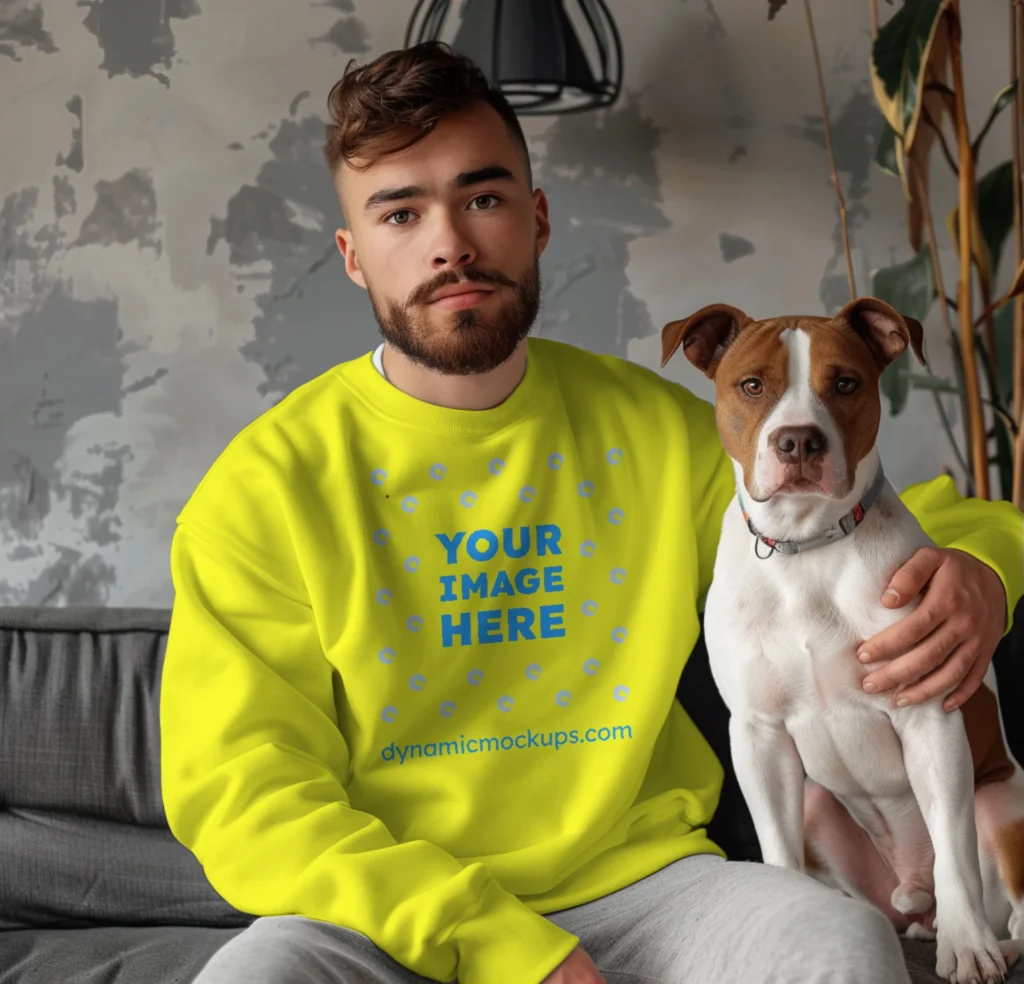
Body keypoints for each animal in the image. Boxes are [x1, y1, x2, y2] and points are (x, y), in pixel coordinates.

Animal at [663, 296, 1024, 982]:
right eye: (752, 385)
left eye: (846, 384)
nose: (798, 439)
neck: (806, 546)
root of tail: (913, 900)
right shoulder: (758, 735)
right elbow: (777, 852)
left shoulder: (928, 716)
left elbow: (953, 851)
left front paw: (967, 948)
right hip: (817, 806)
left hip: (1001, 804)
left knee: (1006, 903)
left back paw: (988, 939)